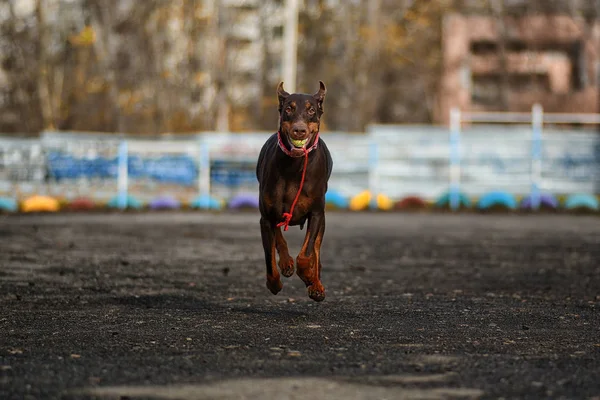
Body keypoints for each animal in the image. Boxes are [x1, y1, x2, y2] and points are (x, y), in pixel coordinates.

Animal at [255, 80, 332, 300]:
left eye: (311, 110)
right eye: (289, 109)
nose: (299, 131)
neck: (294, 167)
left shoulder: (316, 213)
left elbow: (307, 254)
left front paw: (308, 276)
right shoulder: (266, 217)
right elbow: (270, 256)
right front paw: (274, 282)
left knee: (316, 249)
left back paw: (316, 283)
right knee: (278, 237)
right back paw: (287, 263)